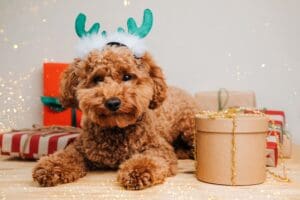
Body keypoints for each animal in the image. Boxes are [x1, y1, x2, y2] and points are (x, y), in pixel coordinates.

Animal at [32, 44, 199, 190]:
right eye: (97, 79)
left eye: (127, 76)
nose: (113, 102)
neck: (116, 129)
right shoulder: (81, 147)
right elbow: (67, 155)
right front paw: (50, 166)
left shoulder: (159, 148)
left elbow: (149, 159)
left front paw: (138, 171)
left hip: (189, 128)